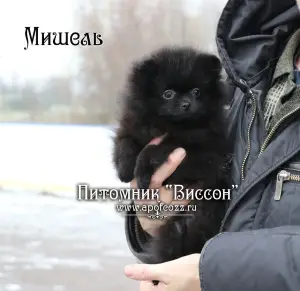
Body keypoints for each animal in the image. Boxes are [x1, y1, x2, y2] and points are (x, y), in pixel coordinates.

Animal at [113, 46, 230, 266]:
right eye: (168, 94)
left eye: (196, 92)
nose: (186, 103)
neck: (172, 125)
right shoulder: (133, 126)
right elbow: (125, 142)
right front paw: (125, 169)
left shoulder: (204, 156)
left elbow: (154, 150)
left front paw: (141, 172)